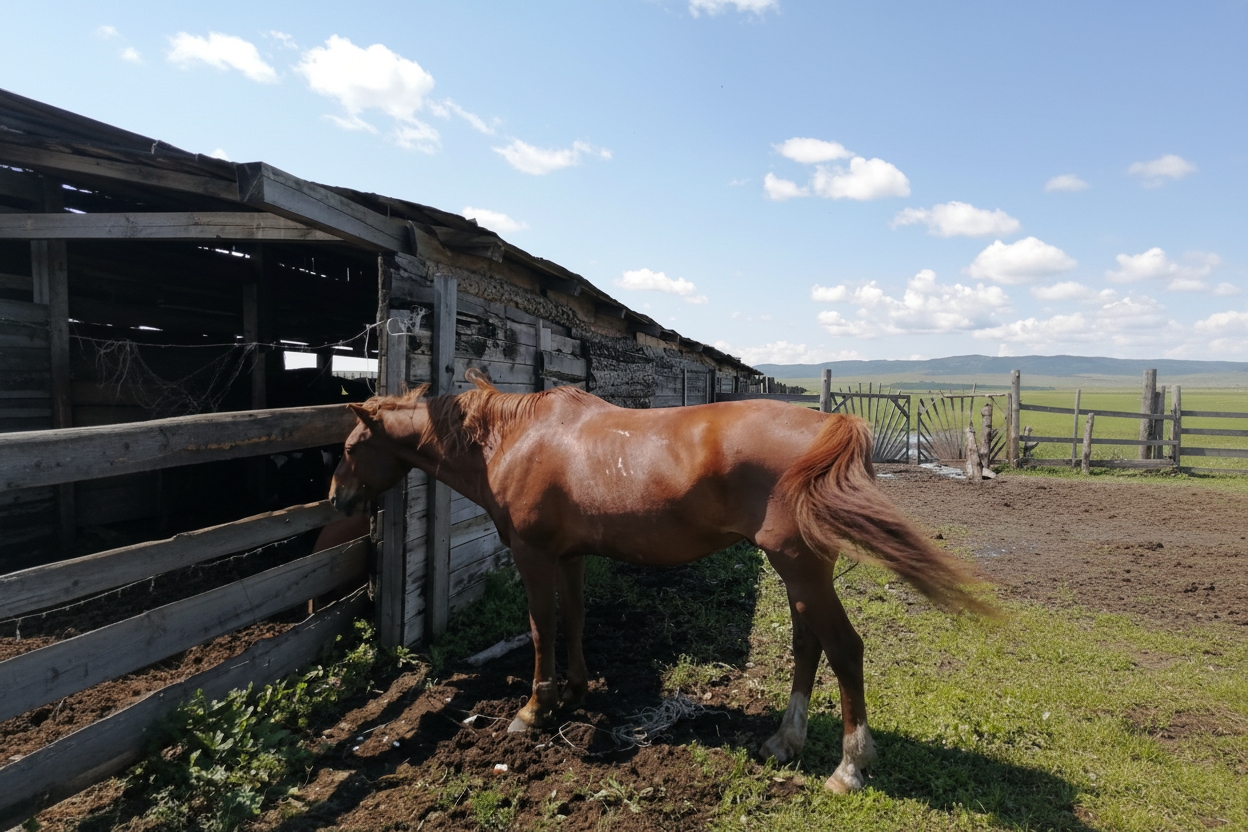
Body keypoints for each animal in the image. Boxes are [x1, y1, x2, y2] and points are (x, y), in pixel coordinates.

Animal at [329, 369, 994, 793]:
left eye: (352, 446)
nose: (337, 500)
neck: (513, 440)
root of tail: (826, 426)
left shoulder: (533, 555)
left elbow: (541, 626)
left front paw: (533, 709)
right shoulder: (570, 556)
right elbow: (575, 618)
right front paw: (574, 691)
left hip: (801, 568)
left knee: (844, 649)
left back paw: (848, 768)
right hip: (797, 569)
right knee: (808, 646)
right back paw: (784, 741)